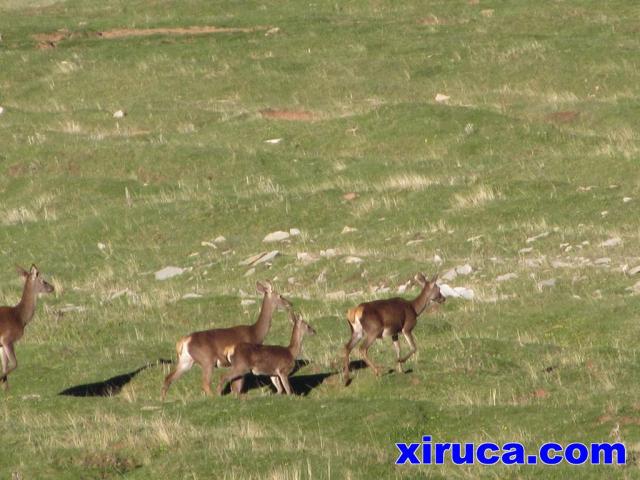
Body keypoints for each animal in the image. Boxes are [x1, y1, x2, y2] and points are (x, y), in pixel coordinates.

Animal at [0, 264, 55, 392]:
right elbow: (14, 363)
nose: (52, 287)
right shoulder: (7, 339)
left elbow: (4, 366)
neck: (20, 318)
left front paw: (6, 389)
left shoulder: (1, 344)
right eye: (43, 280)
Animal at [160, 280, 292, 400]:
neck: (255, 332)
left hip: (186, 360)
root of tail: (184, 340)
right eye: (280, 295)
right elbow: (237, 385)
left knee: (168, 378)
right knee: (205, 383)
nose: (289, 304)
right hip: (207, 359)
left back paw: (163, 399)